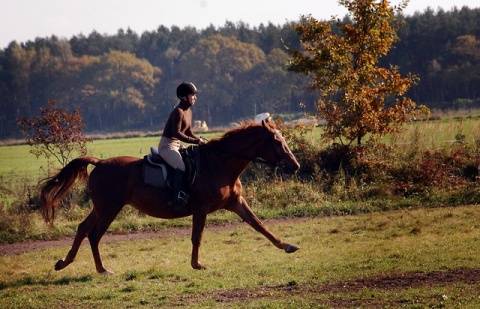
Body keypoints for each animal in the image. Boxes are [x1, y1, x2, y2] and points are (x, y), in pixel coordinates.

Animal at [40, 117, 300, 272]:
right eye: (277, 142)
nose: (295, 166)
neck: (219, 163)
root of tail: (100, 162)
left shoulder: (236, 202)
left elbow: (259, 224)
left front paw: (287, 246)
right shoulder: (201, 208)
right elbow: (197, 236)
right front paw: (197, 264)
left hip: (102, 207)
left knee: (83, 228)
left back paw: (64, 262)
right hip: (109, 208)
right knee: (94, 235)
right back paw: (102, 270)